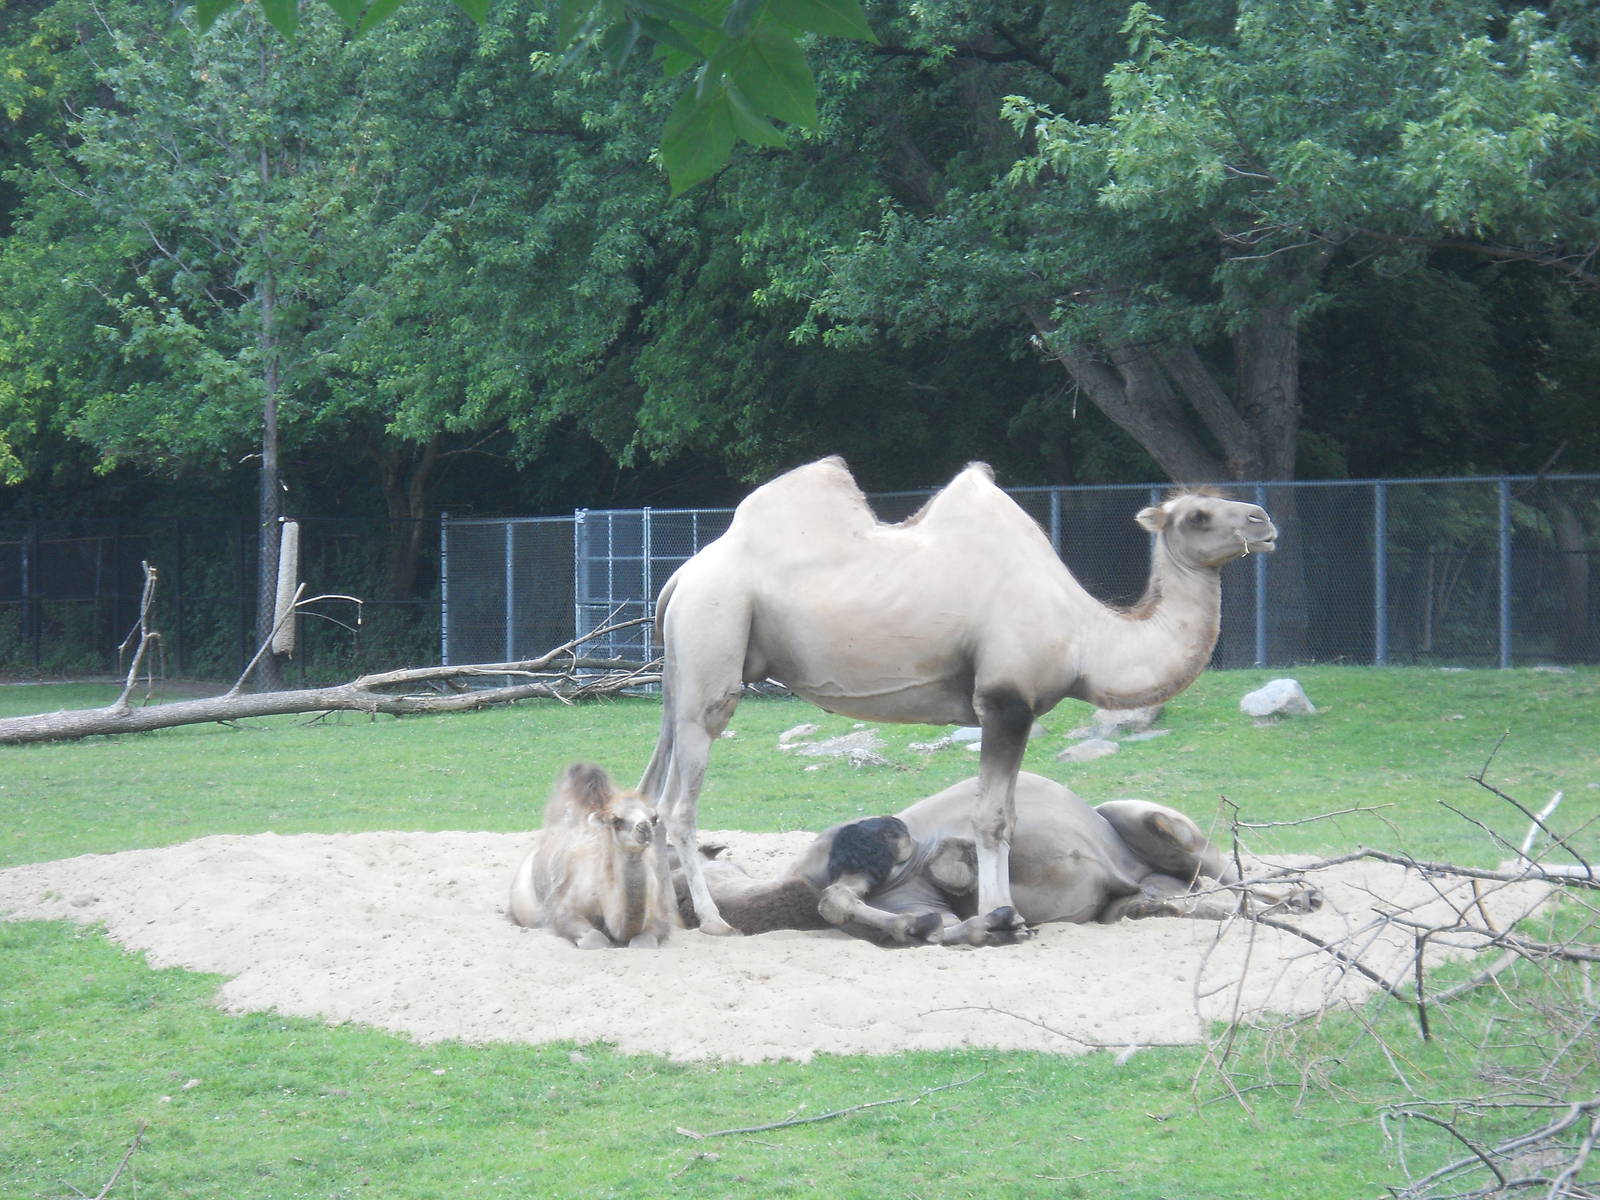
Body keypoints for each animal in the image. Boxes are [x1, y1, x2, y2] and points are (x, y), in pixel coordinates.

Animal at [508, 762, 677, 948]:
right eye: (616, 820)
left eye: (653, 818)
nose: (644, 828)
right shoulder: (561, 909)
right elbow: (594, 939)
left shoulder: (658, 910)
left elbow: (646, 940)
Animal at [640, 456, 1277, 937]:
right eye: (1198, 515)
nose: (1263, 519)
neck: (1086, 636)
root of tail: (683, 574)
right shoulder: (1005, 700)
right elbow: (992, 818)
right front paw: (1003, 916)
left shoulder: (1010, 708)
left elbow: (1005, 815)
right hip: (714, 640)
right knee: (679, 802)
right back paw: (715, 922)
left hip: (680, 670)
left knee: (650, 795)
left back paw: (663, 920)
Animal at [683, 773, 1317, 945]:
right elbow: (855, 903)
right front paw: (977, 926)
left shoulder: (886, 843)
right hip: (1141, 892)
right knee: (1186, 899)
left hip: (1147, 820)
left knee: (1225, 868)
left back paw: (1300, 893)